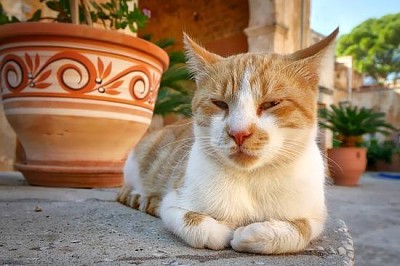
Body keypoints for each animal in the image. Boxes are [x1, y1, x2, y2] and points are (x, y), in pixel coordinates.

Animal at [117, 28, 340, 255]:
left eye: (271, 104)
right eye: (220, 104)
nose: (239, 132)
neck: (251, 179)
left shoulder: (316, 215)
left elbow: (300, 229)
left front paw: (254, 233)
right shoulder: (173, 203)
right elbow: (195, 223)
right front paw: (222, 230)